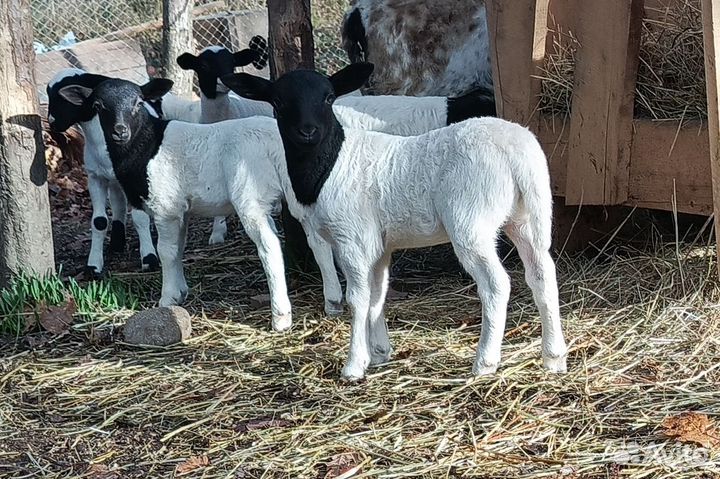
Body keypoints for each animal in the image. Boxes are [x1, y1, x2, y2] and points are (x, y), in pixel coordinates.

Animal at [47, 68, 159, 277]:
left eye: (62, 96)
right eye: (97, 105)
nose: (52, 123)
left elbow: (140, 216)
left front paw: (149, 258)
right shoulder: (95, 177)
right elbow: (99, 221)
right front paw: (93, 266)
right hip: (113, 180)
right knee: (118, 203)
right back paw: (116, 242)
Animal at [56, 77, 345, 331]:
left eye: (139, 102)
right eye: (98, 106)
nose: (120, 131)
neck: (145, 145)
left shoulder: (165, 206)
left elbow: (166, 251)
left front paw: (167, 298)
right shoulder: (180, 210)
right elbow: (179, 248)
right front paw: (181, 292)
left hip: (250, 194)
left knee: (270, 246)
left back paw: (281, 317)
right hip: (300, 193)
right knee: (318, 242)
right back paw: (333, 301)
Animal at [222, 63, 568, 381]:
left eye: (329, 97)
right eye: (278, 101)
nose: (307, 132)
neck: (330, 163)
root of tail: (517, 154)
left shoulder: (353, 239)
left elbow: (358, 298)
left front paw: (354, 365)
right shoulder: (378, 244)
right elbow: (377, 295)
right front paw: (379, 352)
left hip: (471, 222)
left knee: (496, 284)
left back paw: (485, 361)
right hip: (528, 218)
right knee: (542, 275)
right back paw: (553, 357)